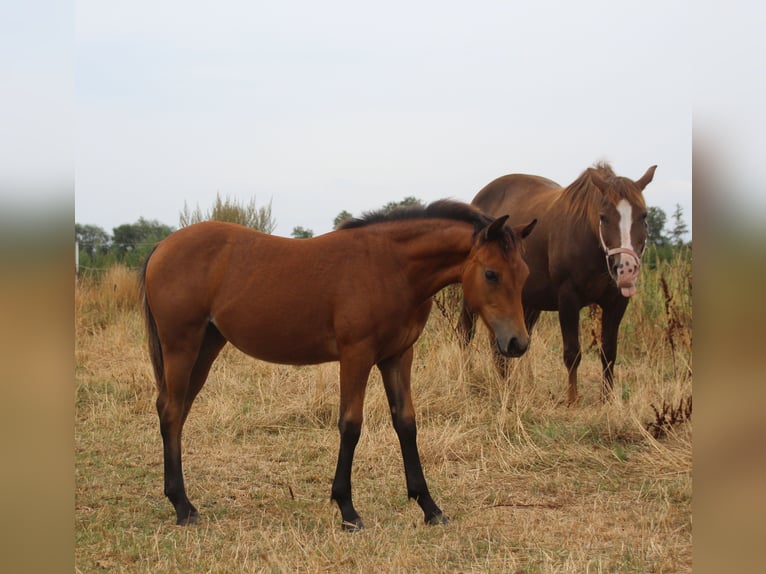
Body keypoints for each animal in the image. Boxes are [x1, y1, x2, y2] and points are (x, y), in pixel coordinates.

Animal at [140, 199, 537, 530]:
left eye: (524, 273)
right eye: (491, 273)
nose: (517, 343)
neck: (389, 266)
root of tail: (162, 246)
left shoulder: (397, 356)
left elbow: (406, 424)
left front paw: (430, 507)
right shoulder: (356, 355)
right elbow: (351, 425)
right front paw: (347, 510)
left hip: (206, 346)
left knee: (177, 411)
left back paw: (183, 502)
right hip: (182, 346)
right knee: (172, 412)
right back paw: (182, 507)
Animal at [458, 163, 656, 405]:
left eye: (644, 215)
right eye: (603, 217)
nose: (626, 269)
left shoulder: (616, 302)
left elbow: (609, 351)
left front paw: (607, 399)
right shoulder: (568, 298)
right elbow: (572, 352)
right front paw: (572, 399)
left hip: (527, 302)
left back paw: (512, 384)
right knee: (465, 333)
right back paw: (468, 380)